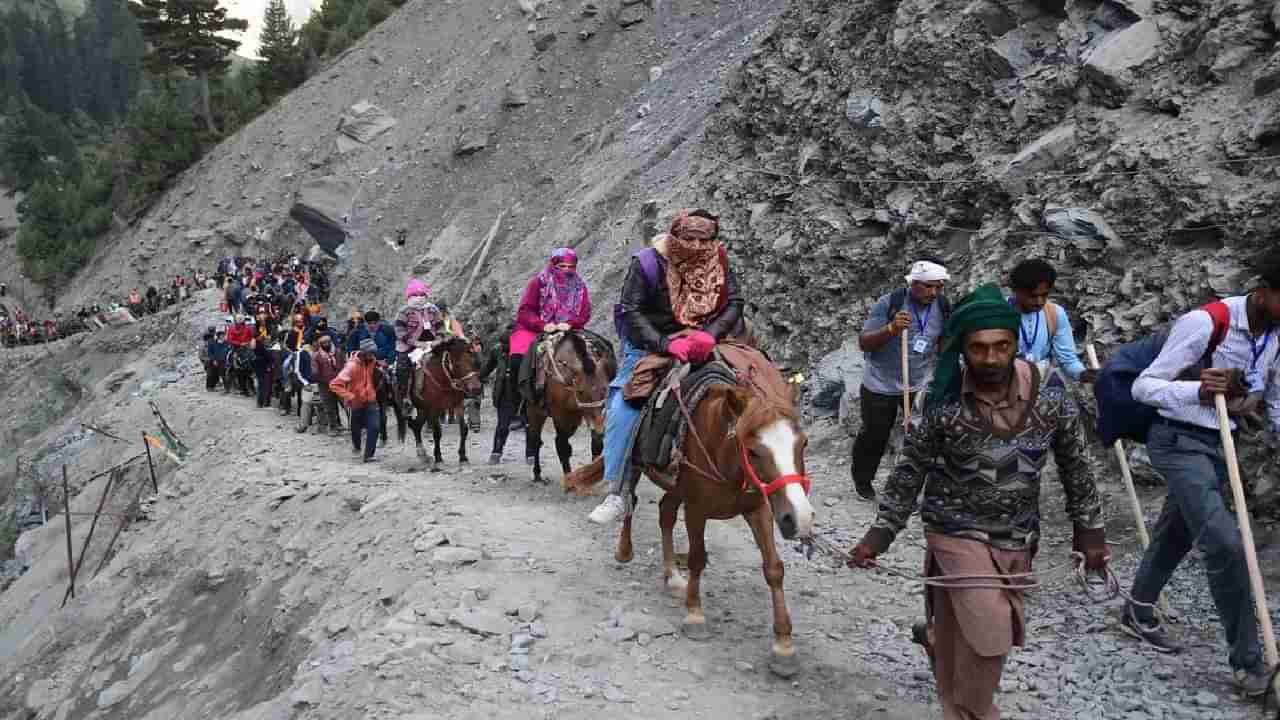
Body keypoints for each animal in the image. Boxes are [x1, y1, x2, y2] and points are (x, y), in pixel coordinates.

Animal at [391, 338, 481, 471]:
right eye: (457, 364)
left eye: (474, 361)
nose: (476, 388)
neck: (443, 378)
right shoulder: (434, 409)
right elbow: (437, 433)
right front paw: (439, 458)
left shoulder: (458, 405)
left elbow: (463, 429)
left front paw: (463, 457)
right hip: (417, 407)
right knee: (413, 424)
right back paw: (422, 453)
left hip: (423, 409)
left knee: (415, 426)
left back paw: (423, 454)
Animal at [524, 330, 614, 481]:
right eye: (581, 391)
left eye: (605, 389)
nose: (599, 429)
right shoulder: (560, 414)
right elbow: (563, 446)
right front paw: (569, 479)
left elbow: (596, 443)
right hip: (534, 409)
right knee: (536, 439)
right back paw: (537, 473)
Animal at [614, 381, 814, 676]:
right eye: (753, 451)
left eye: (803, 444)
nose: (800, 518)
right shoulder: (696, 509)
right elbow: (697, 558)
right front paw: (695, 615)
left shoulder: (759, 510)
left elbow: (774, 569)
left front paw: (783, 646)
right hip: (638, 466)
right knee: (631, 500)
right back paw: (625, 550)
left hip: (676, 488)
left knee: (665, 513)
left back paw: (673, 577)